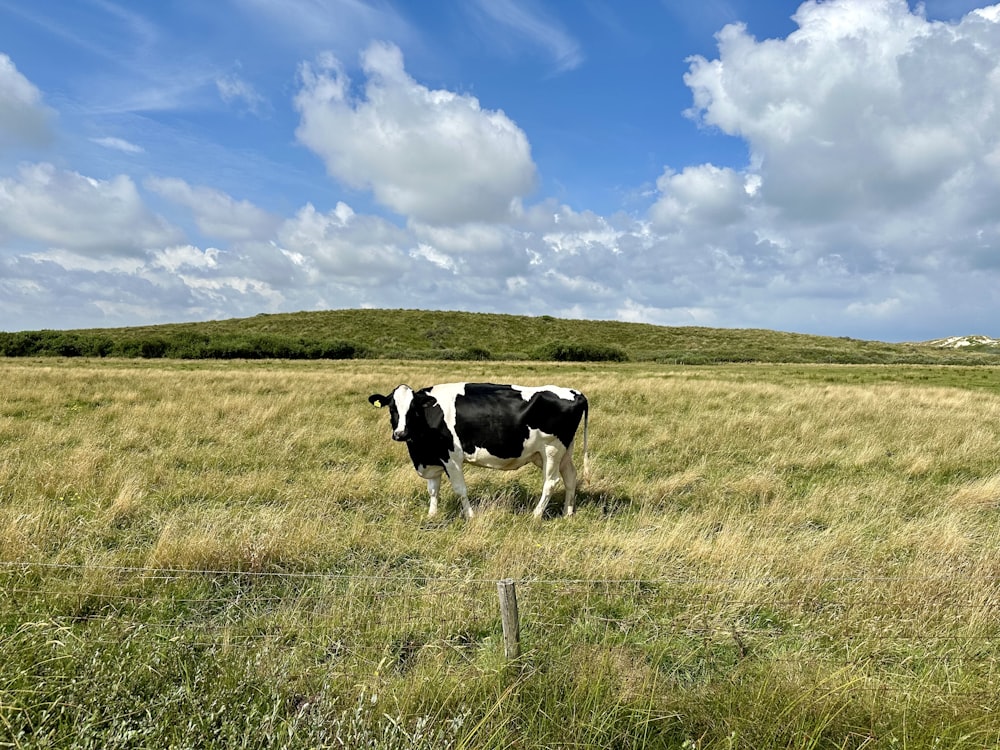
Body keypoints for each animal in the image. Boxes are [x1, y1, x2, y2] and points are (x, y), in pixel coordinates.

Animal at [368, 384, 584, 520]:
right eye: (392, 408)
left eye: (413, 408)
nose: (401, 433)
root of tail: (574, 392)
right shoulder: (433, 458)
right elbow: (433, 489)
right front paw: (432, 514)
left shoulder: (451, 458)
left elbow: (460, 489)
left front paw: (470, 516)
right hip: (560, 452)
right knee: (570, 476)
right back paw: (567, 513)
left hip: (552, 449)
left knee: (551, 482)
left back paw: (536, 515)